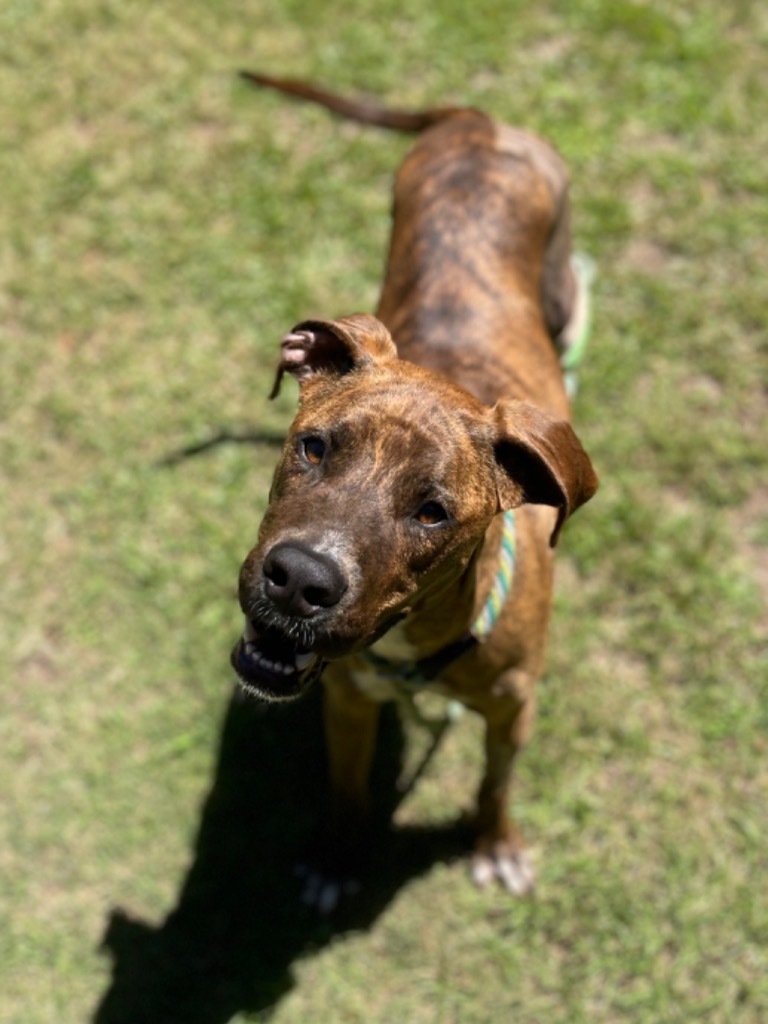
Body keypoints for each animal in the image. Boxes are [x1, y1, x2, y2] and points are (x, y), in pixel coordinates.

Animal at [231, 81, 598, 913]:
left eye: (433, 513)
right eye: (313, 447)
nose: (299, 581)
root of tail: (480, 124)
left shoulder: (514, 705)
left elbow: (496, 784)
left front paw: (496, 846)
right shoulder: (347, 698)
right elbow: (346, 786)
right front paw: (337, 858)